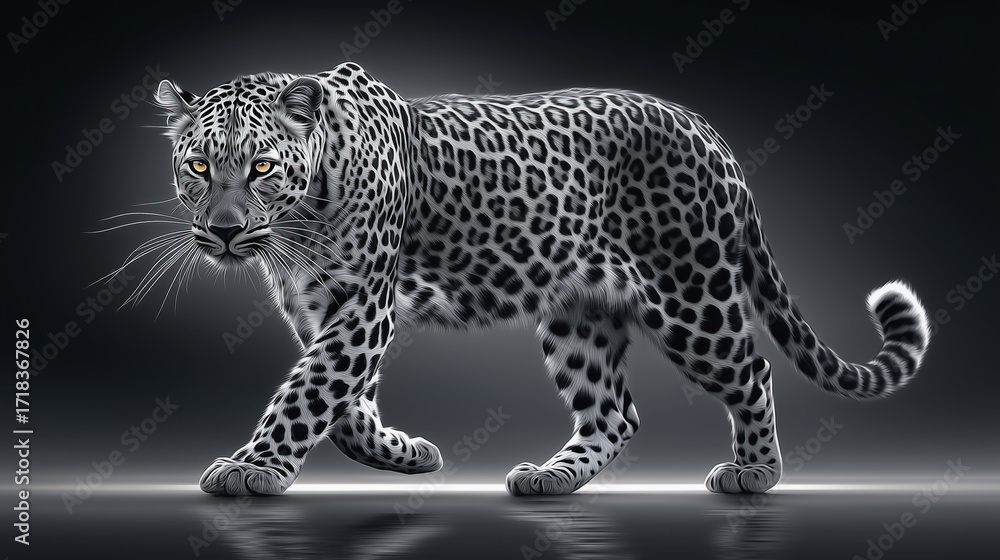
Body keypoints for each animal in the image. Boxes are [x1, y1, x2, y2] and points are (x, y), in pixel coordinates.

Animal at [148, 61, 930, 496]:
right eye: (198, 167)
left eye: (260, 166)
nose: (224, 230)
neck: (297, 220)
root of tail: (713, 136)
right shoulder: (320, 308)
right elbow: (340, 404)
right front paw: (403, 455)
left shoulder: (363, 304)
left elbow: (308, 391)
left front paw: (251, 468)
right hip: (579, 313)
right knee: (614, 411)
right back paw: (550, 478)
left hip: (691, 297)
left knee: (754, 370)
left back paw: (756, 474)